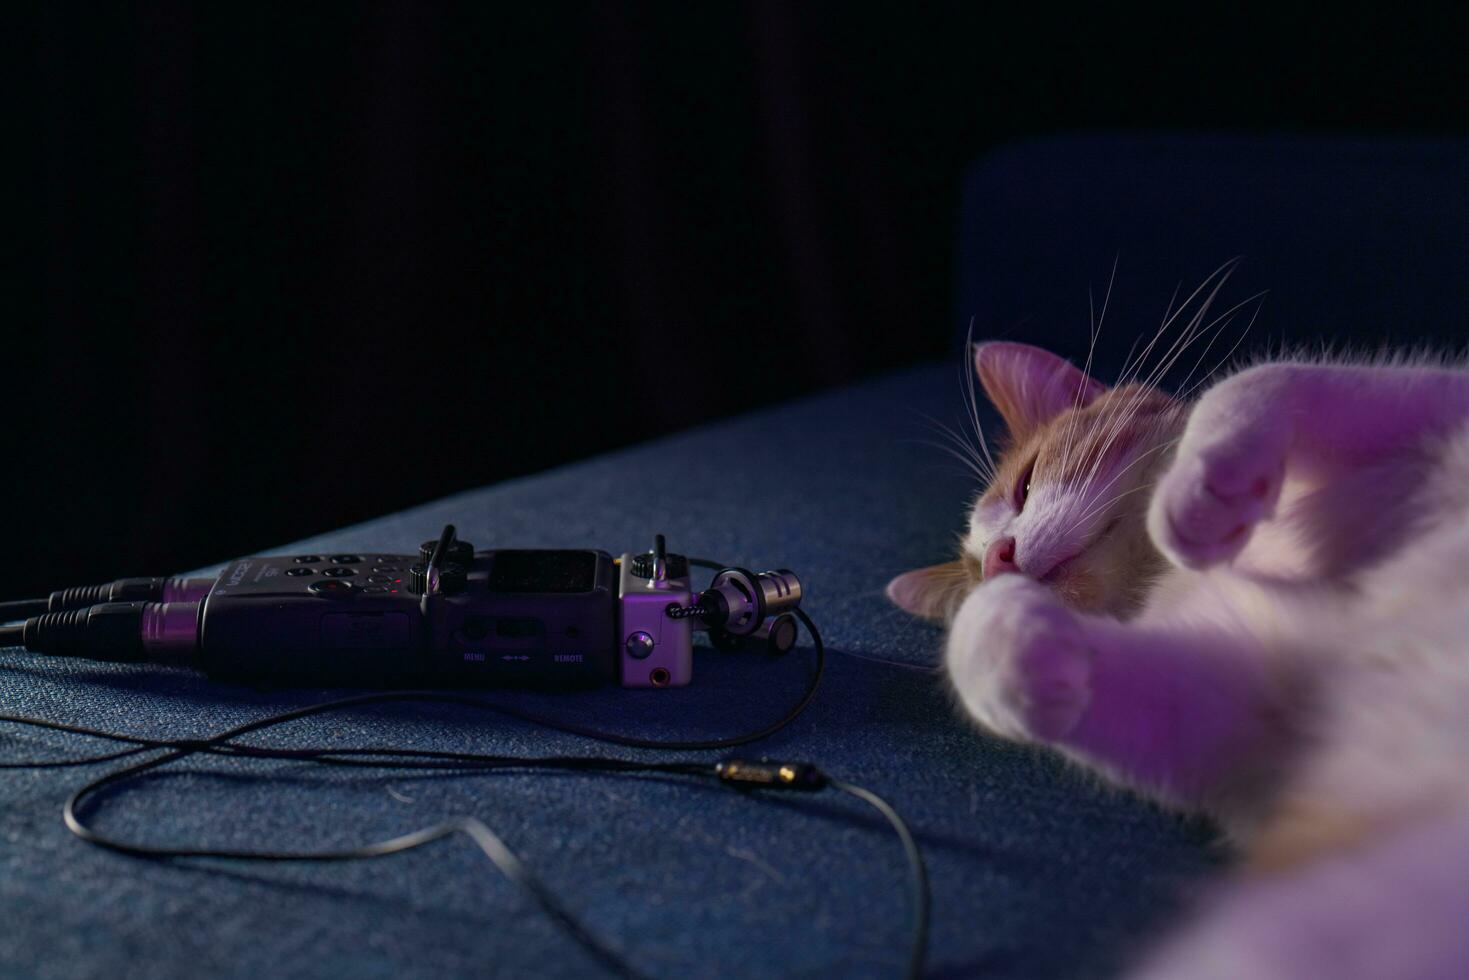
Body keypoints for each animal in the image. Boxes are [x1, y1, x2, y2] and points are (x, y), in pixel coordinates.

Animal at [887, 339, 1469, 980]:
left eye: (1025, 483)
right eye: (975, 575)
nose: (998, 559)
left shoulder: (1431, 405)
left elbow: (1259, 381)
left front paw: (1198, 491)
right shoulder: (1256, 699)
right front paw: (1027, 657)